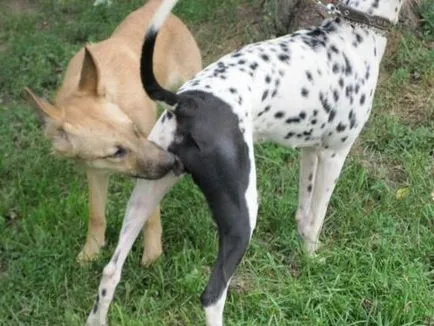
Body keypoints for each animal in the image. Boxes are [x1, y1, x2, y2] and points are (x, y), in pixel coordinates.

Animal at [23, 0, 200, 264]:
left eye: (134, 129)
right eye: (116, 153)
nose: (172, 163)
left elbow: (150, 214)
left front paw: (153, 253)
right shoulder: (95, 171)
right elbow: (96, 214)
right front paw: (91, 251)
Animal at [87, 0, 406, 324]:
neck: (353, 32)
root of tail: (187, 103)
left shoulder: (309, 151)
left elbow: (303, 215)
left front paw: (305, 257)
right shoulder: (334, 154)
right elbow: (316, 219)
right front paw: (314, 259)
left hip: (146, 194)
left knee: (111, 271)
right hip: (242, 213)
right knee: (212, 295)